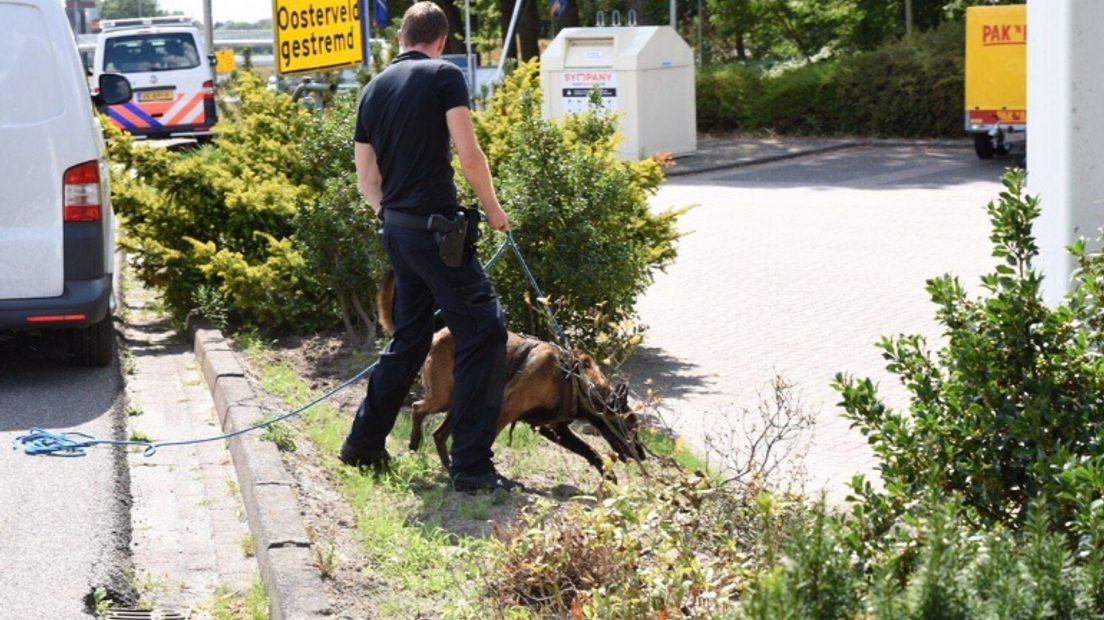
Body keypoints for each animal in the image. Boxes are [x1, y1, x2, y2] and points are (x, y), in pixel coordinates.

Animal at [375, 268, 644, 474]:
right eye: (631, 426)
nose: (642, 455)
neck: (576, 381)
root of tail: (436, 335)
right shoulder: (506, 411)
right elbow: (484, 442)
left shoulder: (553, 428)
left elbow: (590, 451)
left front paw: (609, 479)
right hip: (445, 397)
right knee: (418, 409)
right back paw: (417, 443)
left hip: (458, 402)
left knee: (439, 434)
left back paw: (446, 465)